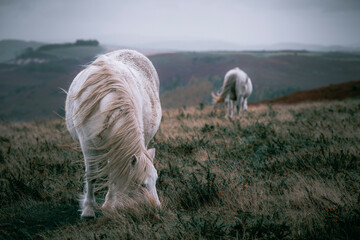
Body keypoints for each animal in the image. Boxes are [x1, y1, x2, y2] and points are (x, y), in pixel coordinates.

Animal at [64, 48, 162, 218]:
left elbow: (114, 174)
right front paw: (88, 210)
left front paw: (110, 206)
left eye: (156, 180)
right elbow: (91, 175)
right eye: (141, 184)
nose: (157, 208)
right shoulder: (87, 145)